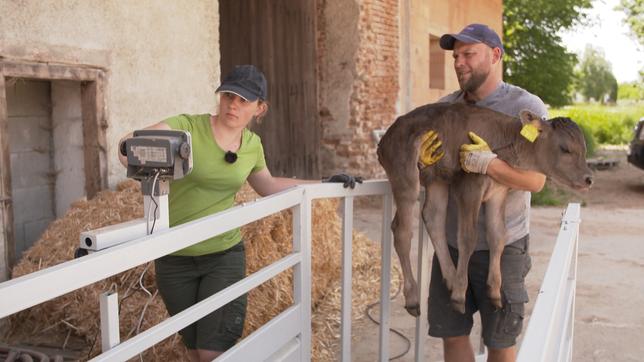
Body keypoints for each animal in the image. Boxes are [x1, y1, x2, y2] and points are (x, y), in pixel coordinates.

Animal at [378, 101, 592, 314]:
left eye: (584, 149)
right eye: (565, 149)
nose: (588, 178)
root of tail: (387, 136)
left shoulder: (499, 191)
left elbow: (498, 236)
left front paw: (494, 292)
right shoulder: (470, 186)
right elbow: (467, 238)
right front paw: (459, 296)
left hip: (437, 179)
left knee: (433, 218)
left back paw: (451, 277)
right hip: (404, 173)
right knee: (402, 231)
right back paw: (414, 298)